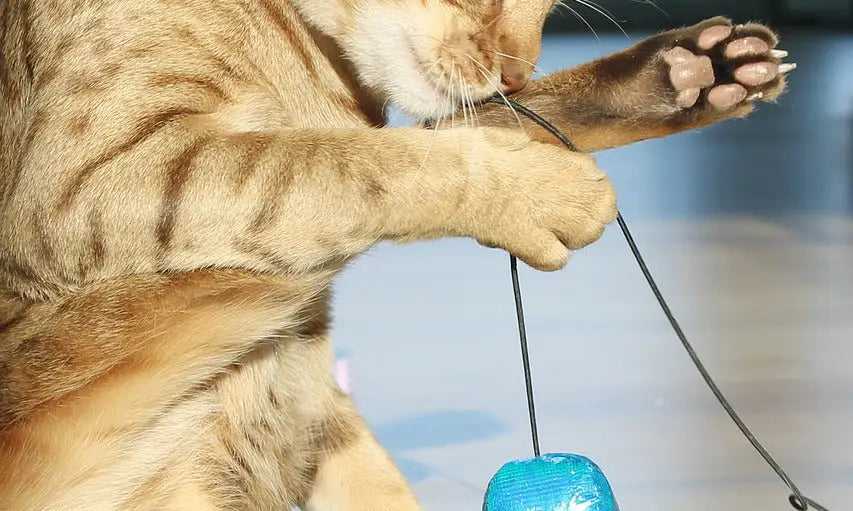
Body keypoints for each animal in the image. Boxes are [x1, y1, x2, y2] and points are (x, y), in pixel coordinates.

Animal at [0, 0, 792, 510]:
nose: (516, 67)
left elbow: (440, 130)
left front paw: (693, 71)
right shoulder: (83, 188)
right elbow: (348, 162)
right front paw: (537, 192)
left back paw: (695, 73)